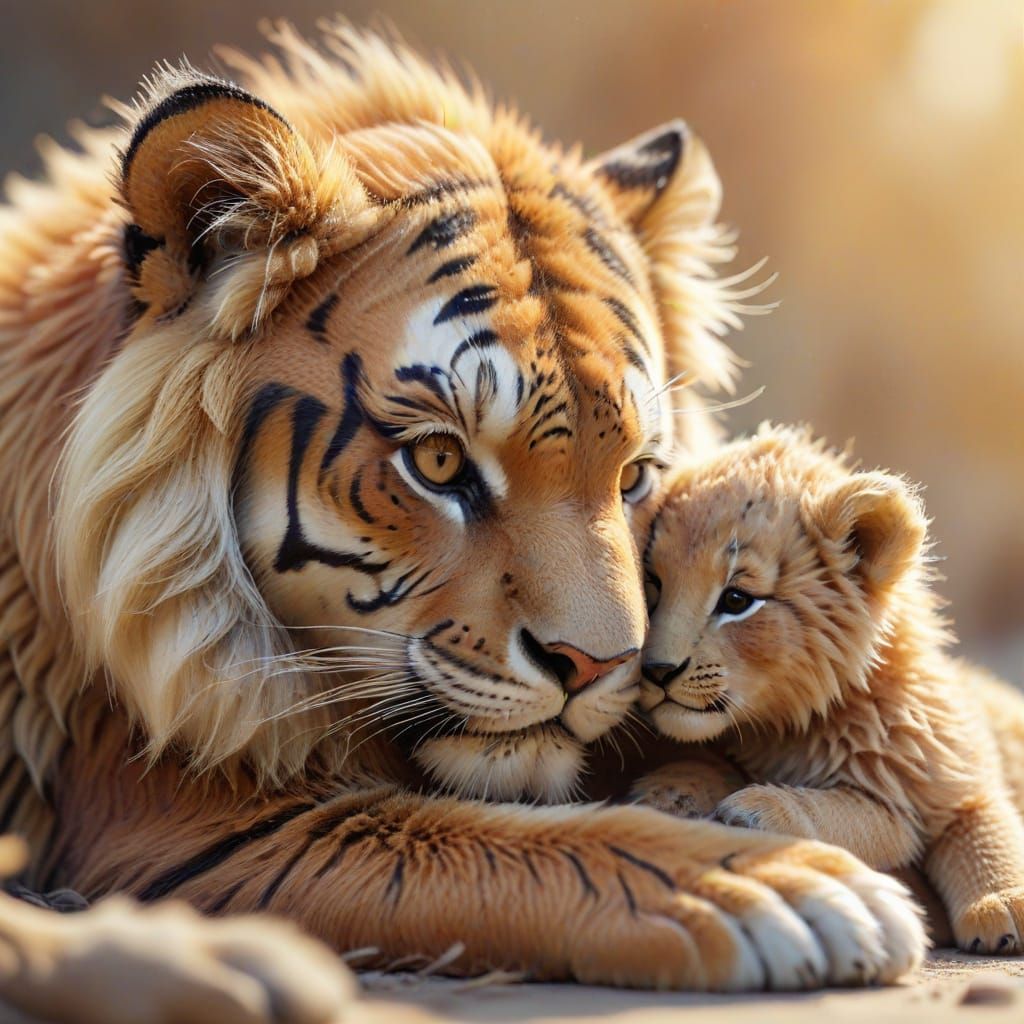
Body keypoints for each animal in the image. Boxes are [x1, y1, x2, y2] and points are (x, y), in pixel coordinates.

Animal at [0, 22, 927, 1022]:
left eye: (634, 477)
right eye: (439, 463)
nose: (600, 665)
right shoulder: (176, 825)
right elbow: (513, 843)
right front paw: (777, 888)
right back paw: (238, 972)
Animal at [633, 423, 1024, 954]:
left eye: (736, 599)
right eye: (653, 585)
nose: (656, 670)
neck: (800, 722)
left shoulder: (955, 771)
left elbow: (979, 828)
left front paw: (1004, 906)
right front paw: (668, 796)